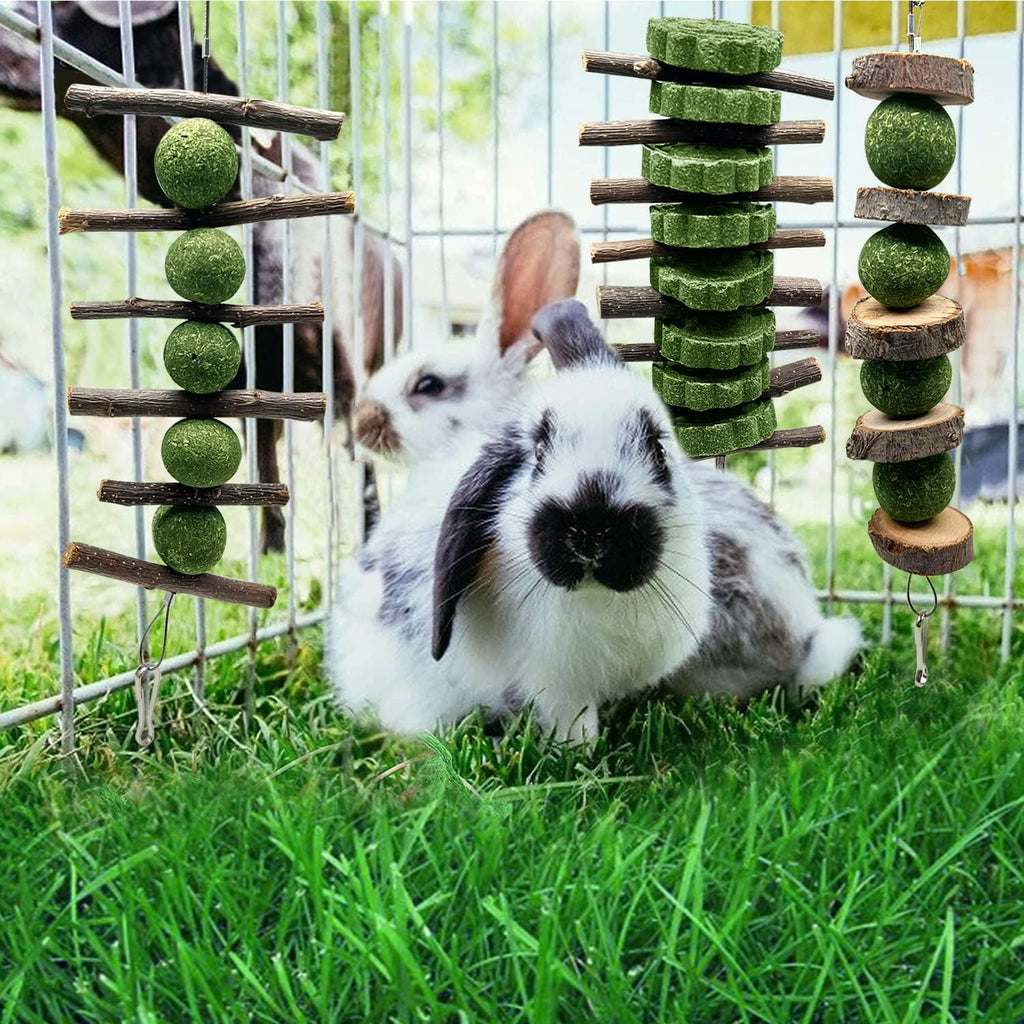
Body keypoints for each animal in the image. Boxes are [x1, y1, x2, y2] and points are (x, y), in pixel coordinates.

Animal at [328, 300, 861, 743]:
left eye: (659, 450)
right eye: (537, 452)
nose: (590, 530)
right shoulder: (556, 684)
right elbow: (573, 726)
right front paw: (580, 758)